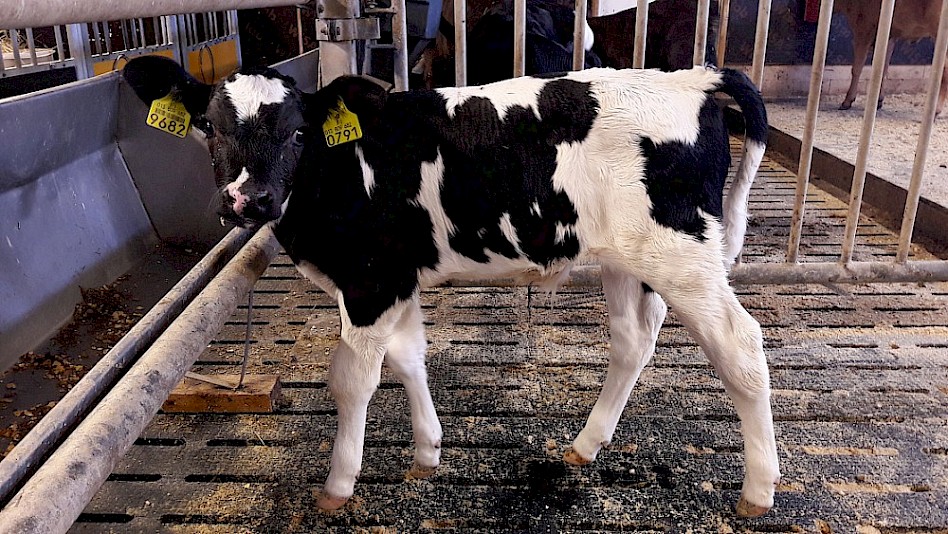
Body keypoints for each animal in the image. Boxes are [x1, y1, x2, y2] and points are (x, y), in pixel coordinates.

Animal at [121, 54, 780, 517]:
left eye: (298, 132)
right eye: (208, 126)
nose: (247, 200)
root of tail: (695, 77)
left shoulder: (368, 282)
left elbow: (352, 380)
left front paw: (339, 484)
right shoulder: (396, 277)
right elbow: (409, 357)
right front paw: (426, 453)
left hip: (682, 253)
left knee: (741, 346)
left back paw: (758, 490)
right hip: (627, 258)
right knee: (633, 340)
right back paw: (586, 444)